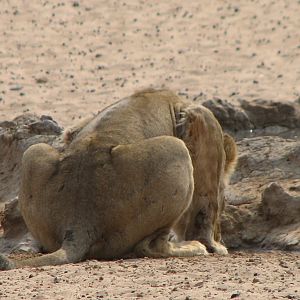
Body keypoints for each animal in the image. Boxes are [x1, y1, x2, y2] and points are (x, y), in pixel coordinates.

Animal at [0, 89, 236, 270]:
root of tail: (79, 220)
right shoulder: (204, 125)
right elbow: (207, 204)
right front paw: (215, 245)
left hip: (32, 153)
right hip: (175, 150)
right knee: (151, 246)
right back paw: (192, 247)